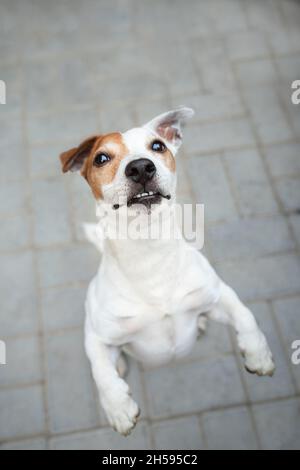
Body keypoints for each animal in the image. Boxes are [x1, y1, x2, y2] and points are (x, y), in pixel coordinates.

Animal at [59, 107, 276, 436]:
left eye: (157, 146)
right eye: (101, 158)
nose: (140, 167)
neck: (149, 250)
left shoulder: (217, 295)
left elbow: (246, 316)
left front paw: (258, 354)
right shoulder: (96, 335)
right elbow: (101, 371)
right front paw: (118, 408)